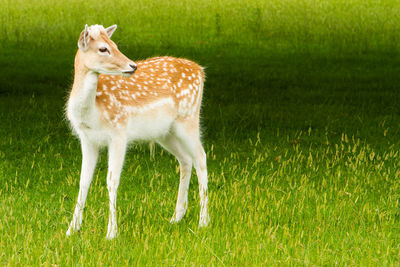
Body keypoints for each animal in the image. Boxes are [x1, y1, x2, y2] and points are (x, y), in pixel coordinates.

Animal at [65, 24, 209, 240]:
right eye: (103, 48)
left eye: (115, 45)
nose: (133, 66)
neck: (93, 113)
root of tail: (200, 71)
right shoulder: (87, 139)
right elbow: (83, 181)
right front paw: (71, 230)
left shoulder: (119, 132)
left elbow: (112, 181)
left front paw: (111, 233)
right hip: (165, 132)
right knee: (185, 159)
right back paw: (176, 217)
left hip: (189, 118)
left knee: (201, 157)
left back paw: (203, 222)